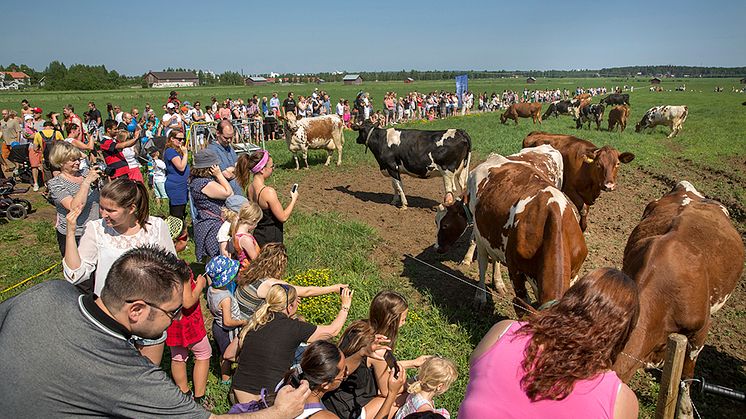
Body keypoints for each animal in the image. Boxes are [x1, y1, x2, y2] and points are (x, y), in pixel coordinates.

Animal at [430, 145, 588, 308]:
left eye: (445, 225)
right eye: (436, 222)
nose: (436, 248)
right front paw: (470, 262)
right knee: (483, 262)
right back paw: (481, 295)